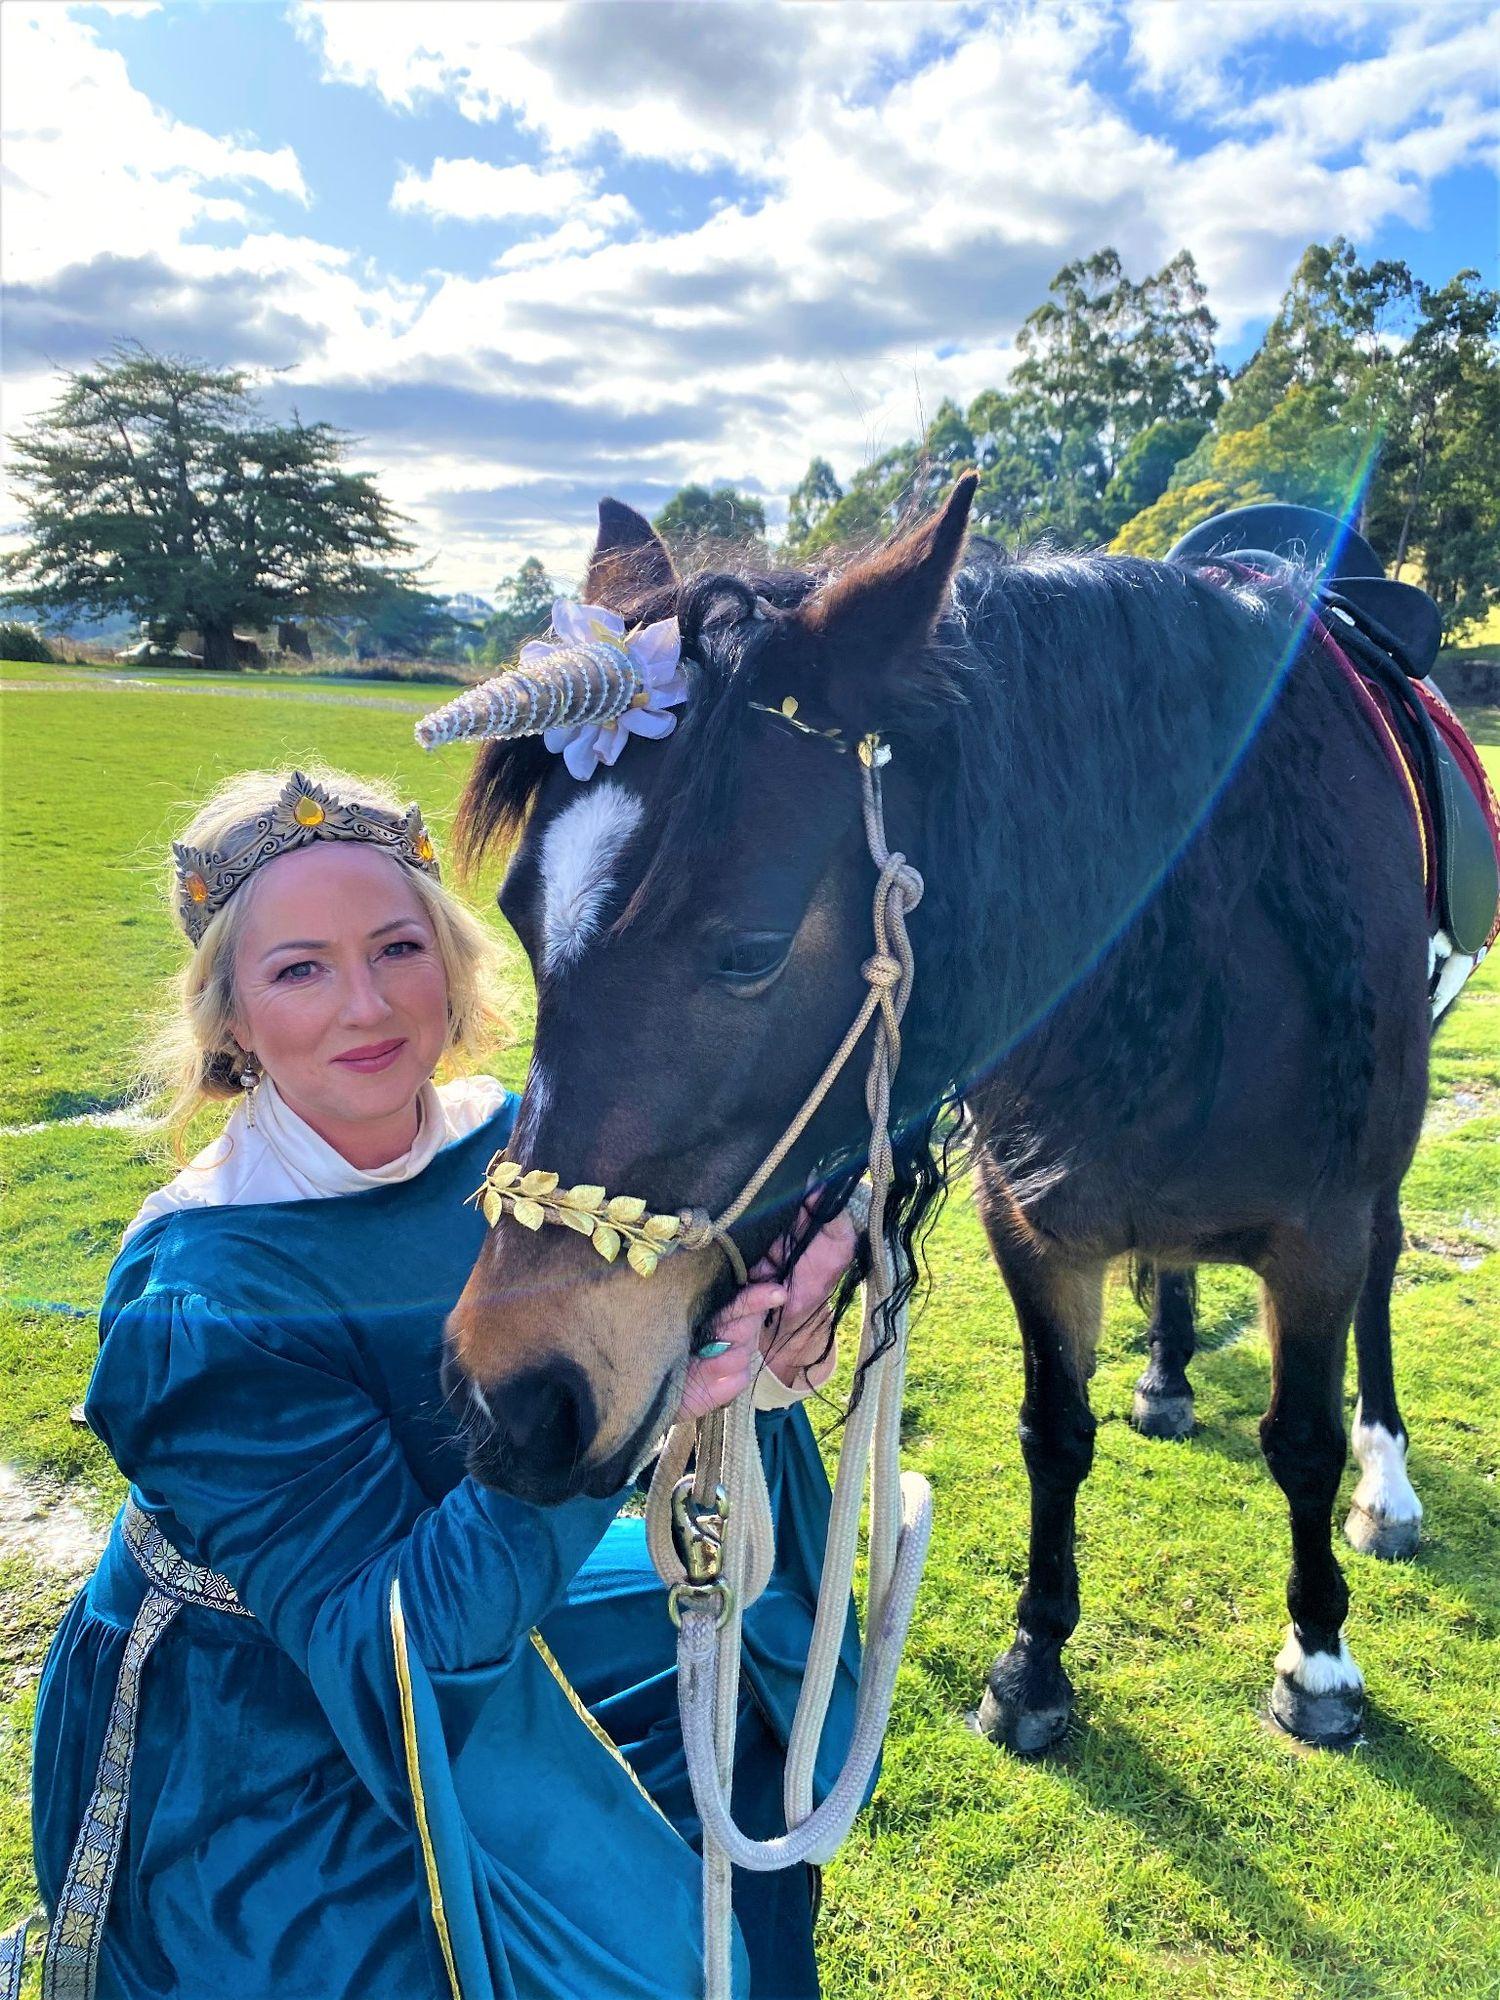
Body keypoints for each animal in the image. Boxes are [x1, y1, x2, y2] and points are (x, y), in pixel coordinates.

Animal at [438, 475, 1438, 1751]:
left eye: (750, 948)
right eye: (519, 918)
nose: (509, 1397)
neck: (1226, 924)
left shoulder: (1320, 1230)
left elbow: (1301, 1442)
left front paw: (1318, 1656)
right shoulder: (1038, 1222)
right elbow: (1055, 1433)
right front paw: (1035, 1661)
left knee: (1384, 1286)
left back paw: (1386, 1481)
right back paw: (1167, 1376)